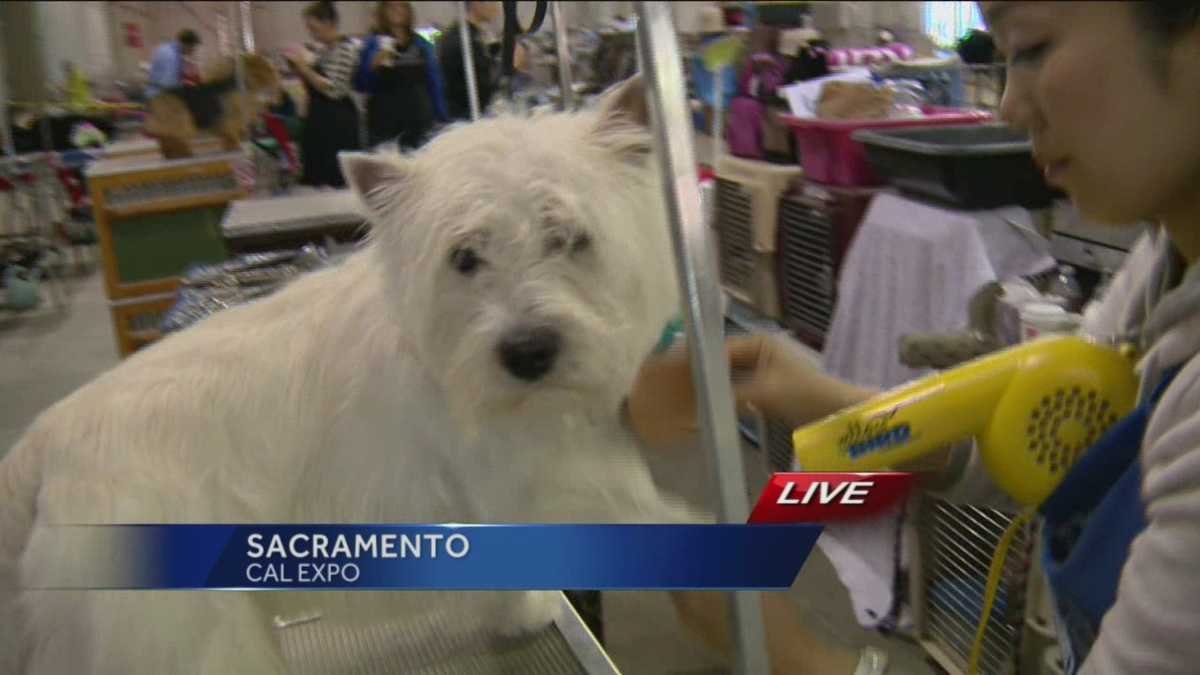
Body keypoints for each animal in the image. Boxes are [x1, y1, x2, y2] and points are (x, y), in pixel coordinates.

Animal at [143, 53, 280, 158]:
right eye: (260, 73)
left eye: (270, 69)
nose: (274, 82)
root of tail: (153, 100)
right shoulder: (228, 121)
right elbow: (230, 135)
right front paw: (234, 147)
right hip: (179, 122)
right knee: (171, 140)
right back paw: (183, 153)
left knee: (165, 141)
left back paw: (174, 155)